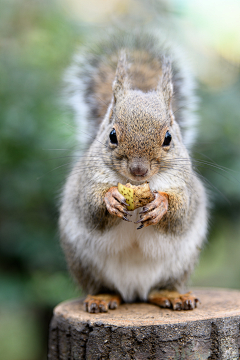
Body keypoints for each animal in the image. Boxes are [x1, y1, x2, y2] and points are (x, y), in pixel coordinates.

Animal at [59, 30, 207, 312]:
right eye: (112, 135)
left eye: (168, 138)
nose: (138, 170)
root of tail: (135, 291)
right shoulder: (87, 181)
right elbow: (89, 208)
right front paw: (111, 199)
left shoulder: (184, 185)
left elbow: (181, 212)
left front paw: (160, 204)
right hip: (85, 262)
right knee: (104, 287)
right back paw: (103, 298)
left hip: (179, 264)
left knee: (160, 288)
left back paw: (172, 295)